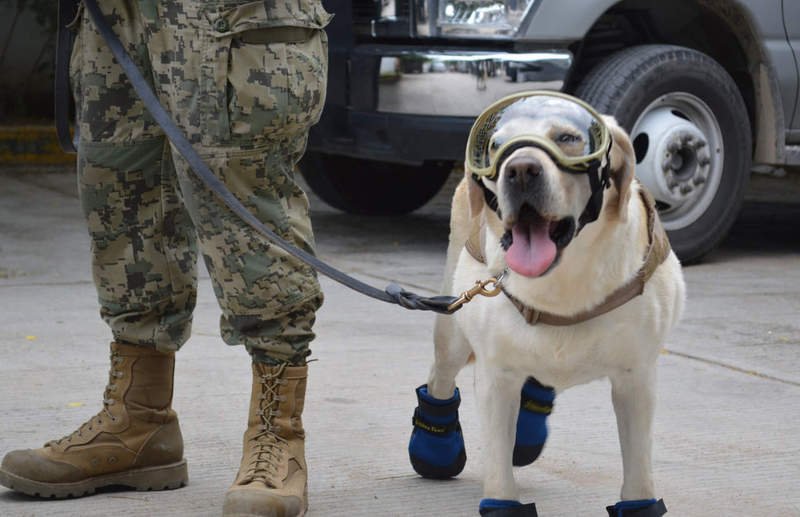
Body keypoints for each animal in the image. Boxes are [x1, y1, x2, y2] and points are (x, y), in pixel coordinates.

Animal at [410, 92, 684, 516]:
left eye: (568, 138)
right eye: (496, 145)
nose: (521, 170)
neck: (562, 285)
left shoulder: (636, 377)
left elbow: (639, 470)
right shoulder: (497, 376)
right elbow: (498, 466)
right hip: (453, 329)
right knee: (441, 374)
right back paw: (434, 449)